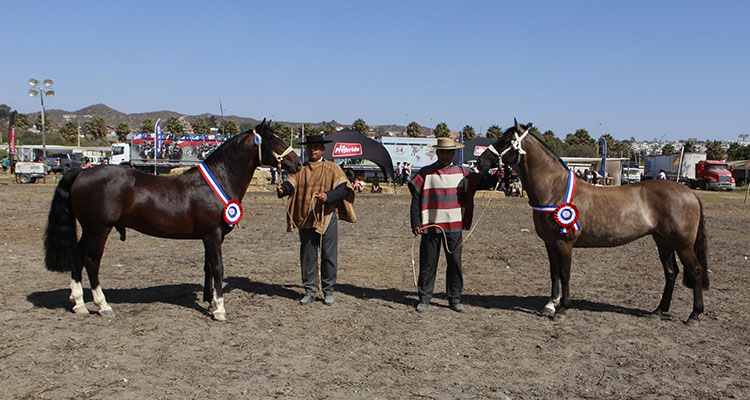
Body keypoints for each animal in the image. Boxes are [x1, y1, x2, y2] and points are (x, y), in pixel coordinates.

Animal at [44, 119, 302, 322]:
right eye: (274, 141)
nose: (297, 163)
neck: (218, 180)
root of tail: (81, 171)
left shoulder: (209, 237)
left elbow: (208, 267)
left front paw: (210, 302)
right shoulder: (213, 235)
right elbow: (218, 267)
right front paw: (219, 309)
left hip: (89, 229)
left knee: (77, 256)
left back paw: (79, 303)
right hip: (99, 230)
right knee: (91, 261)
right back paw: (103, 305)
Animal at [476, 119, 712, 324]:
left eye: (505, 140)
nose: (480, 162)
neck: (555, 189)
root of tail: (689, 192)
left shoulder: (564, 243)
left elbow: (565, 274)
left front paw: (562, 309)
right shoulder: (550, 243)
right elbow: (554, 274)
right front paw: (550, 305)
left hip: (682, 244)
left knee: (696, 271)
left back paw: (694, 315)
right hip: (662, 240)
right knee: (671, 272)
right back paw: (658, 311)